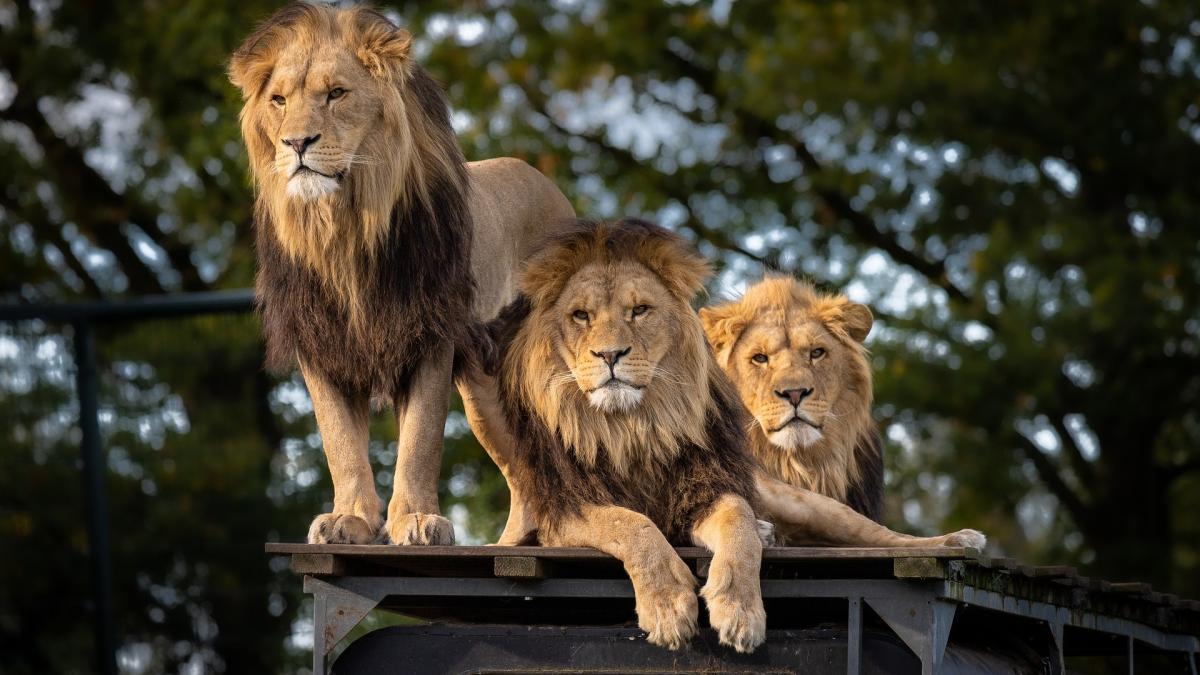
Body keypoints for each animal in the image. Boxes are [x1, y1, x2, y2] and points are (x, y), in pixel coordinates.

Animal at [228, 2, 573, 546]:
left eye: (336, 93)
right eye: (279, 100)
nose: (296, 142)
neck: (344, 230)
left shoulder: (430, 333)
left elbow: (420, 439)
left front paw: (415, 519)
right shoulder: (321, 342)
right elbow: (339, 442)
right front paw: (349, 519)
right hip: (485, 392)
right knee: (523, 473)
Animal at [470, 219, 985, 652]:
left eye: (639, 311)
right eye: (580, 316)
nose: (610, 354)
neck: (632, 425)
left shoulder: (707, 488)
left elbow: (737, 525)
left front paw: (739, 610)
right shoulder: (561, 510)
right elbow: (631, 525)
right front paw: (668, 605)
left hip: (799, 501)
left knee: (876, 534)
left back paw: (953, 541)